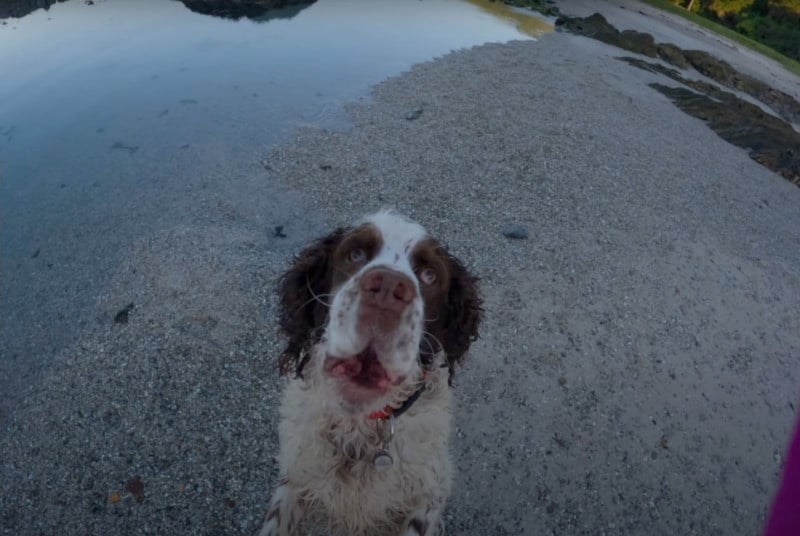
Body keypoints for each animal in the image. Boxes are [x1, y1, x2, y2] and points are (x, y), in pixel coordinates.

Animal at [260, 211, 482, 532]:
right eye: (356, 255)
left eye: (429, 275)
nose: (388, 288)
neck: (360, 430)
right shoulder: (295, 475)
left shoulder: (430, 493)